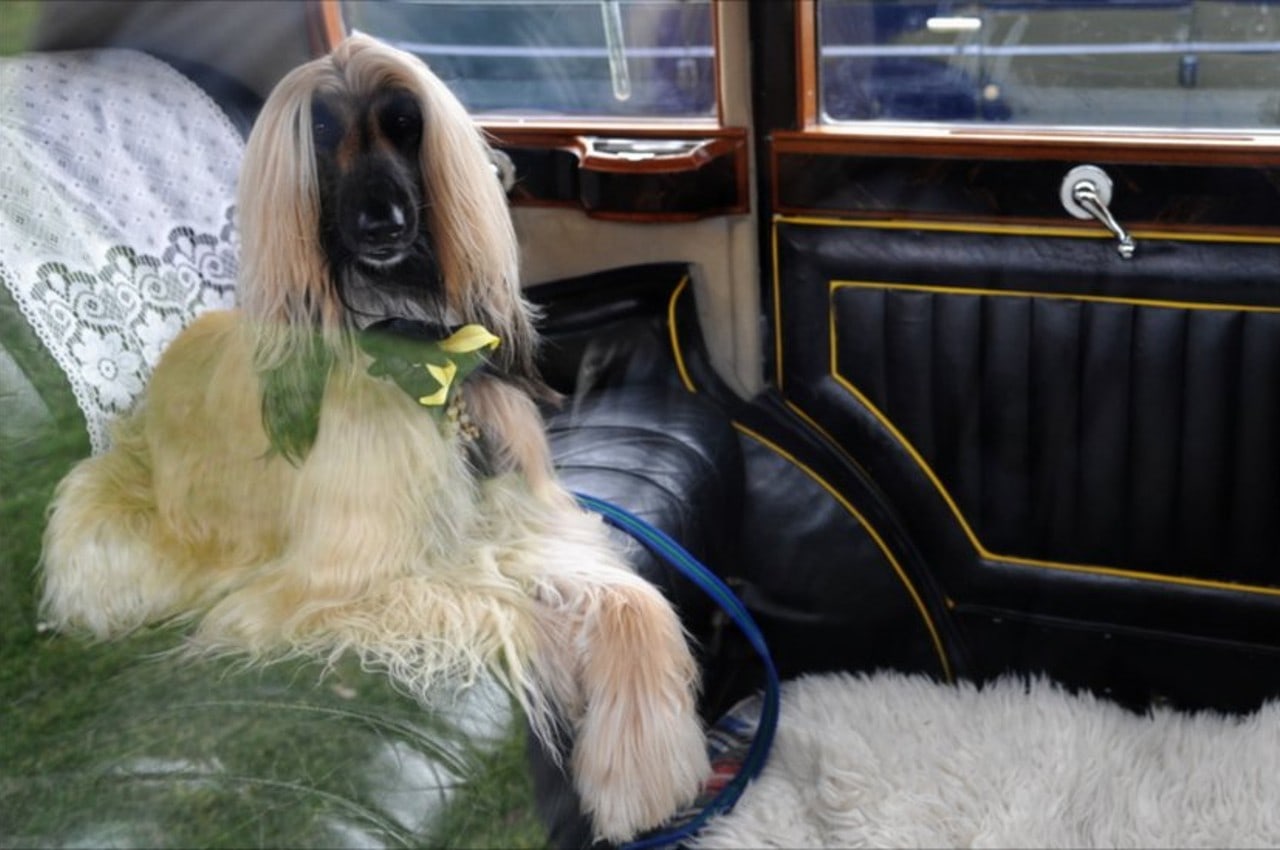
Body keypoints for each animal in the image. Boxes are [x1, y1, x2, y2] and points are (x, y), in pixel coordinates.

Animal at [39, 33, 709, 842]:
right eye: (323, 131)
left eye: (405, 123)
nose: (381, 224)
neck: (416, 352)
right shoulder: (337, 582)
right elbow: (507, 605)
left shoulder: (516, 518)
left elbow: (629, 596)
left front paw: (644, 763)